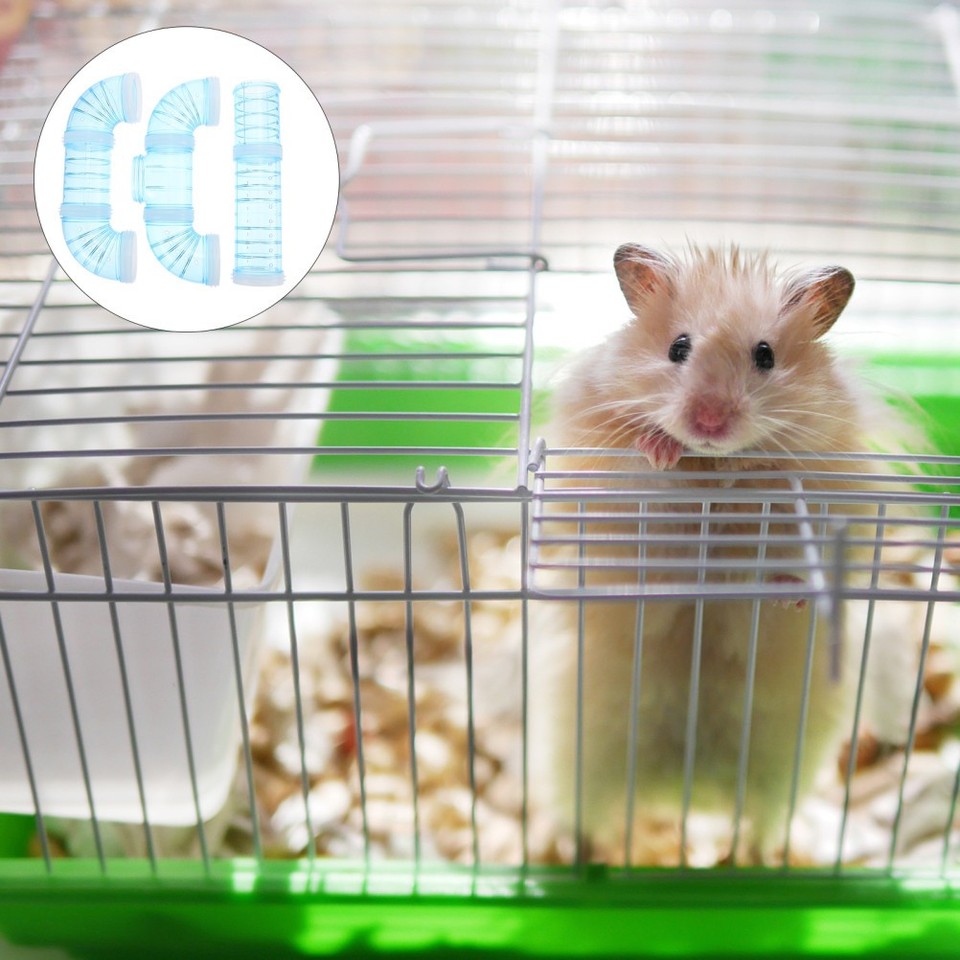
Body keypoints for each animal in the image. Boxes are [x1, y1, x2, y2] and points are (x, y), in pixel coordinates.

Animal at [531, 243, 891, 865]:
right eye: (678, 347)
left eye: (765, 355)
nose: (709, 421)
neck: (712, 468)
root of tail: (686, 794)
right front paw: (660, 448)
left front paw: (792, 595)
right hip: (580, 757)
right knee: (586, 818)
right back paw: (581, 855)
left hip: (782, 773)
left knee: (760, 826)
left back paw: (748, 860)